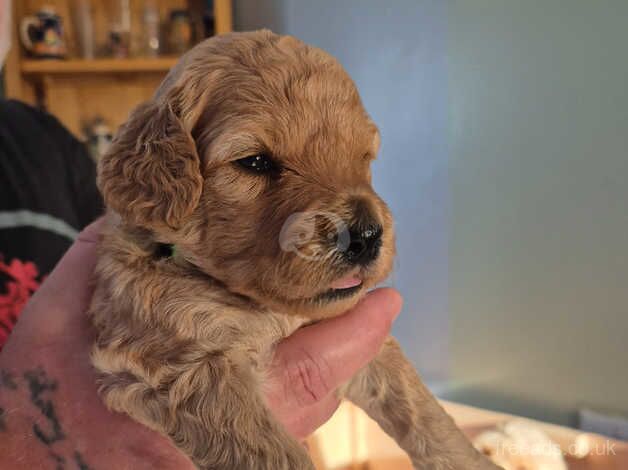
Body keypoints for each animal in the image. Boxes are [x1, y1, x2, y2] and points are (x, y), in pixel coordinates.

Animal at [89, 30, 500, 470]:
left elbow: (420, 406)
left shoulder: (362, 340)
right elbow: (274, 451)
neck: (269, 310)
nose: (367, 234)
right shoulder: (181, 366)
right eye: (254, 162)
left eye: (363, 157)